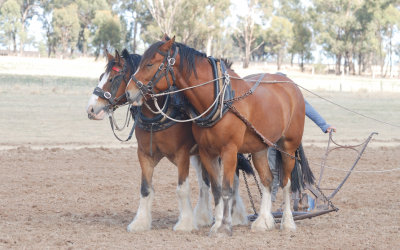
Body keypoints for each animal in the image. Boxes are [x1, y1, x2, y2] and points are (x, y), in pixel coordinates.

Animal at [86, 48, 250, 232]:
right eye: (101, 76)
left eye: (113, 78)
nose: (91, 109)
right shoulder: (145, 154)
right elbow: (145, 188)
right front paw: (140, 222)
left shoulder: (182, 154)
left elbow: (182, 189)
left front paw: (185, 223)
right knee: (204, 183)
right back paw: (203, 216)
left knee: (233, 180)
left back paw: (235, 217)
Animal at [125, 36, 312, 234]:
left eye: (149, 64)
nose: (129, 92)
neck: (219, 100)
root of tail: (291, 85)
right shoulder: (207, 152)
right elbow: (216, 189)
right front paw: (217, 224)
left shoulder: (229, 151)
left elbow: (227, 189)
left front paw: (224, 226)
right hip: (260, 148)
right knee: (268, 180)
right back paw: (263, 221)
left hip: (288, 147)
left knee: (286, 183)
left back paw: (287, 222)